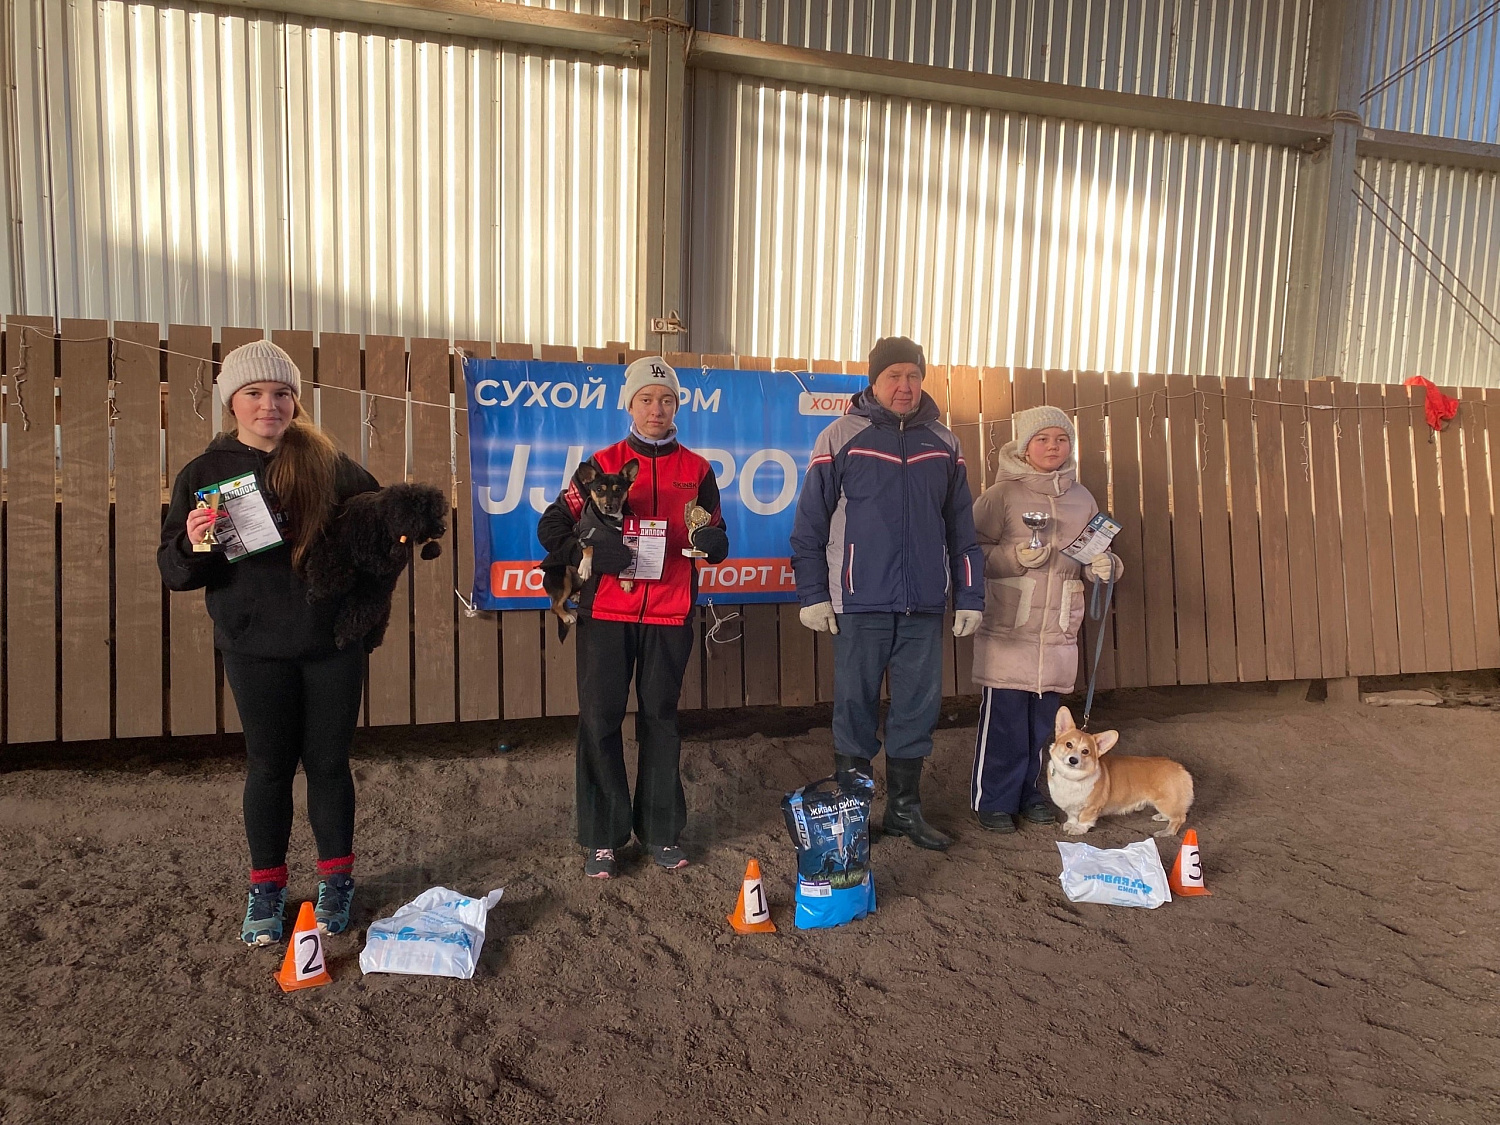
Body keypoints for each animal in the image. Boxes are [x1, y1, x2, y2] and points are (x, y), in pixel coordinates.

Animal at [543, 459, 636, 642]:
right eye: (599, 489)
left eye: (619, 490)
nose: (608, 507)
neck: (610, 521)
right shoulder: (585, 536)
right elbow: (590, 548)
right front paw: (586, 566)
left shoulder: (622, 545)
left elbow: (626, 559)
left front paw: (626, 581)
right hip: (562, 576)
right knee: (554, 606)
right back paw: (567, 616)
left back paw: (576, 596)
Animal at [1050, 705, 1188, 840]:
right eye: (1068, 744)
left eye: (1085, 751)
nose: (1073, 760)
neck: (1071, 778)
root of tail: (1180, 767)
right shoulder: (1070, 807)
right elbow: (1072, 816)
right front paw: (1070, 824)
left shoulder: (1092, 807)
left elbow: (1084, 819)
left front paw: (1078, 829)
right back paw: (1160, 817)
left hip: (1165, 803)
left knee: (1179, 818)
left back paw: (1166, 832)